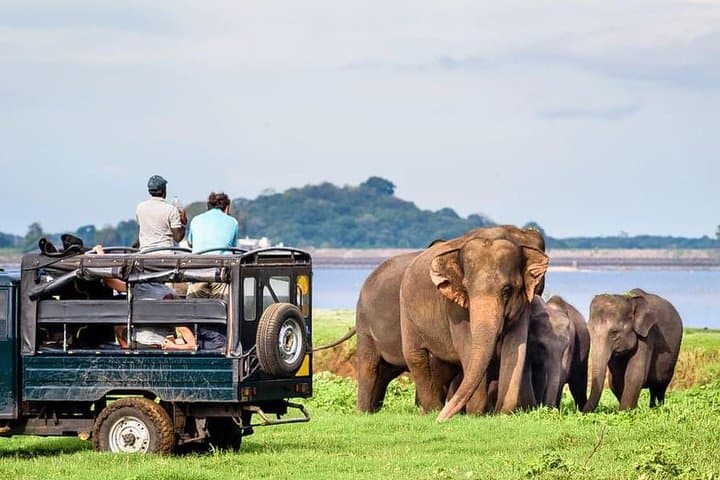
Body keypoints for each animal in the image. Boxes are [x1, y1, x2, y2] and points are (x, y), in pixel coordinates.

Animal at [353, 225, 545, 414]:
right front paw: (475, 414)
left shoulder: (524, 303)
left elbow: (515, 348)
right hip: (388, 314)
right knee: (401, 358)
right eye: (466, 289)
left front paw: (502, 413)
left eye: (507, 290)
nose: (442, 419)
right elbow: (467, 346)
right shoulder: (454, 308)